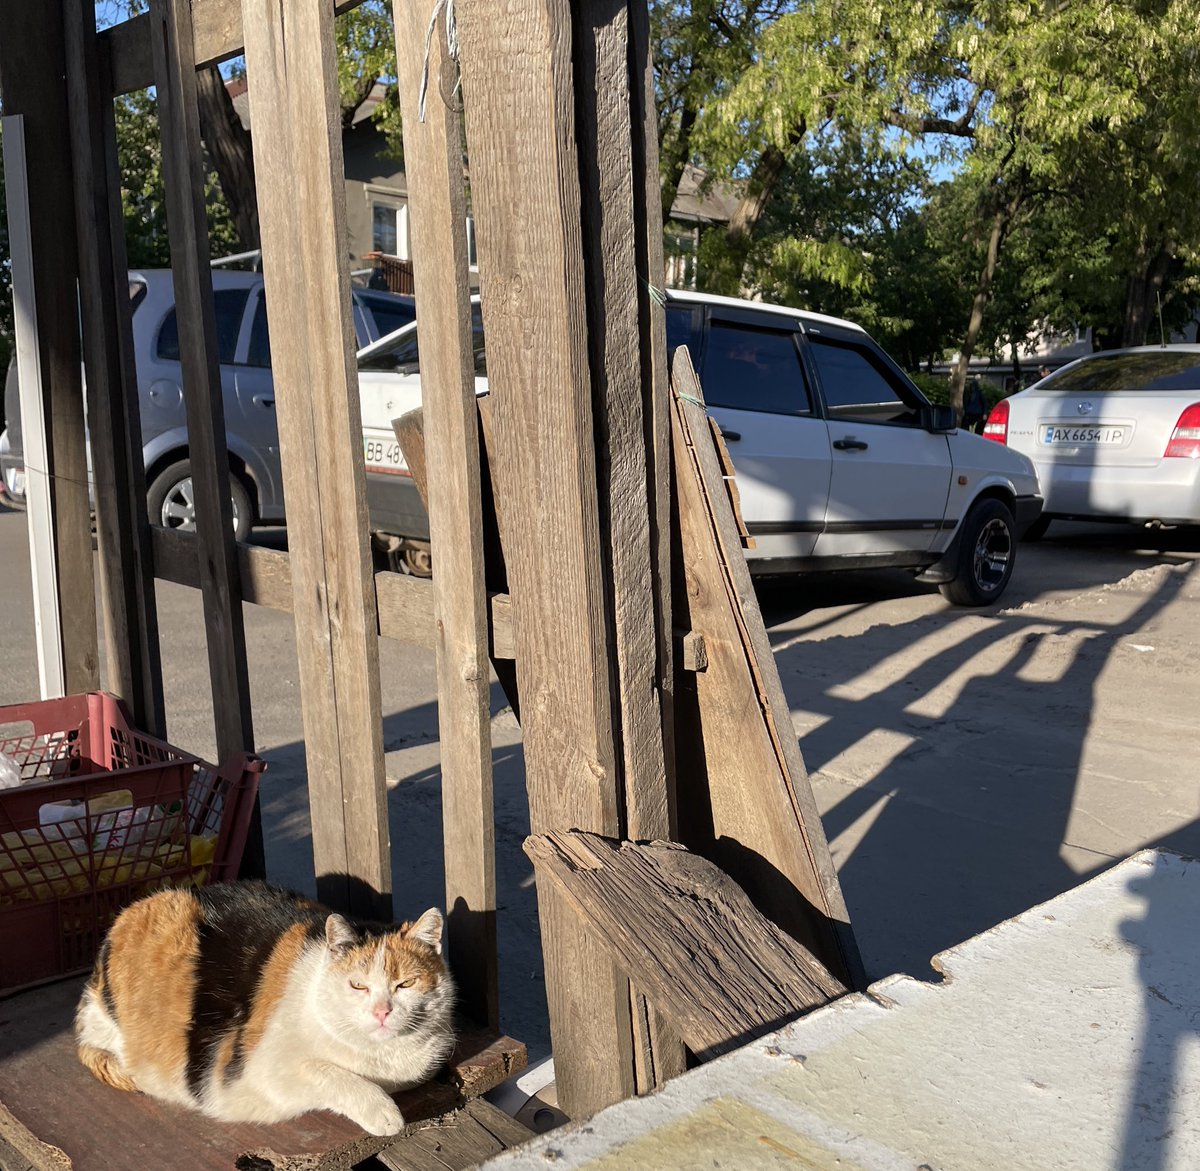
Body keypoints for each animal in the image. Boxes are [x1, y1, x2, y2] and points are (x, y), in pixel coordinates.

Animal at [75, 878, 456, 1132]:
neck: (383, 1058)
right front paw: (385, 1114)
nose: (382, 1011)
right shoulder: (258, 1070)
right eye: (358, 985)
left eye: (405, 983)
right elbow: (327, 1071)